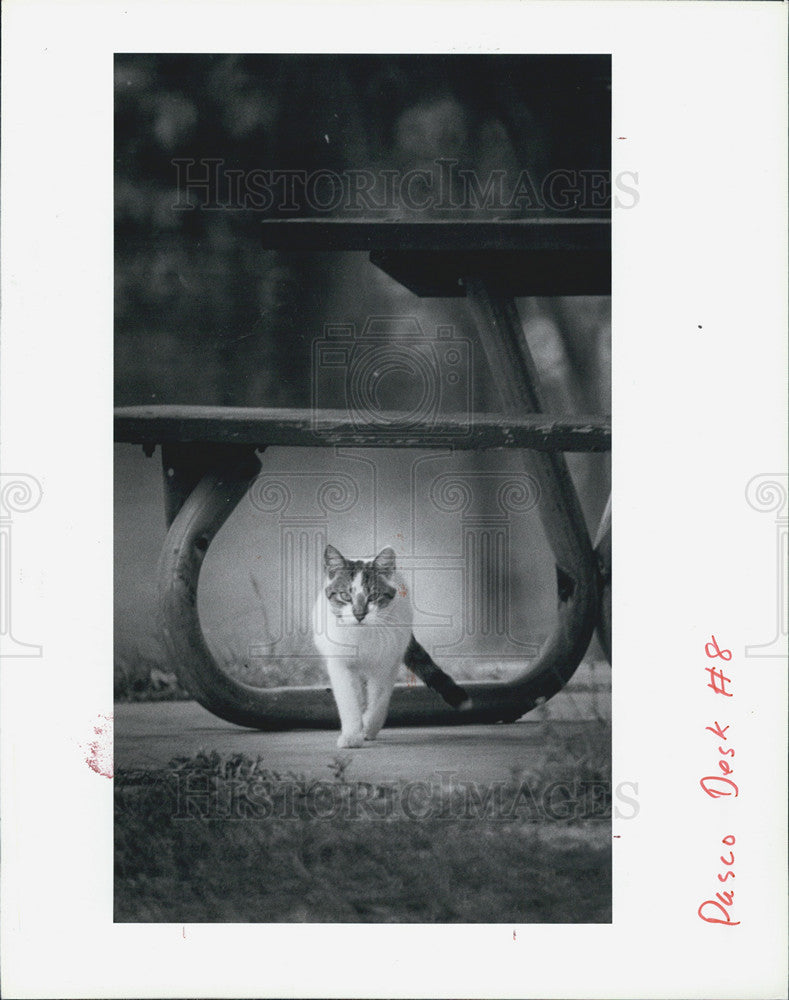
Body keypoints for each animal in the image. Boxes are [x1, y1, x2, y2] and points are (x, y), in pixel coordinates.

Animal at [310, 544, 468, 748]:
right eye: (345, 595)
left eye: (373, 596)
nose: (359, 615)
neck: (363, 635)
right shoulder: (341, 664)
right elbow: (349, 700)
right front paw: (352, 735)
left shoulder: (388, 661)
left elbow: (379, 698)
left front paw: (369, 726)